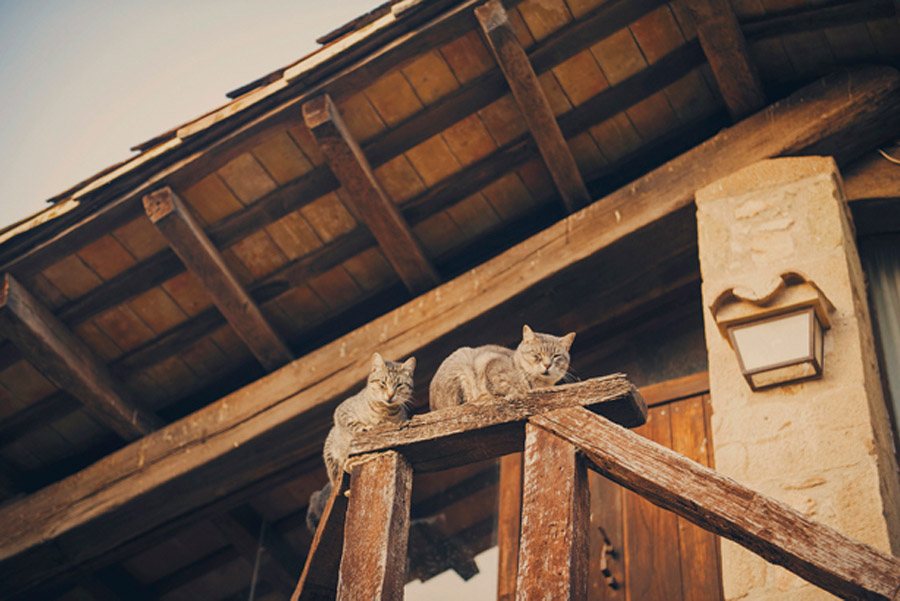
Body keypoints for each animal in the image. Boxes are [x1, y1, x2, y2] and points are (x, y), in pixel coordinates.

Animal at [304, 352, 414, 528]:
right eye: (383, 383)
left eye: (399, 385)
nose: (390, 395)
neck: (384, 411)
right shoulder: (342, 411)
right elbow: (354, 424)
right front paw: (366, 427)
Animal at [428, 324, 568, 412]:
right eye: (537, 354)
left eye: (556, 356)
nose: (547, 365)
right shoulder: (491, 363)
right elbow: (506, 386)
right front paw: (515, 393)